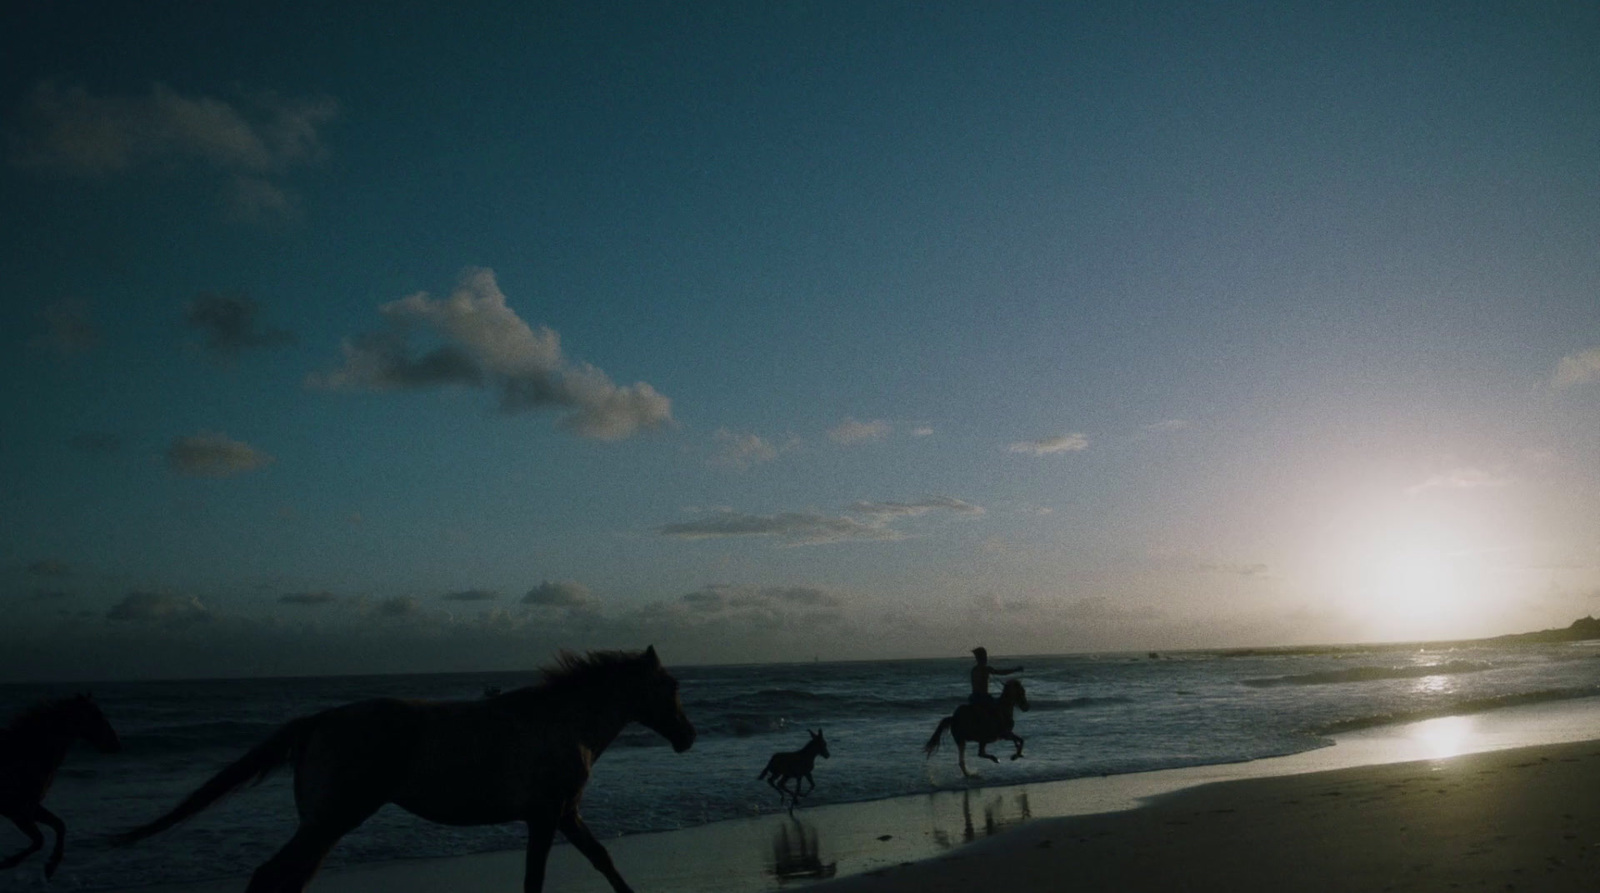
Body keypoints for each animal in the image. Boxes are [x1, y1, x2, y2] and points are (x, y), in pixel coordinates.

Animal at [1, 697, 121, 876]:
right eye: (97, 716)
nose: (116, 744)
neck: (26, 754)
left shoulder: (30, 809)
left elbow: (59, 826)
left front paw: (52, 864)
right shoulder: (18, 811)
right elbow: (40, 840)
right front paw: (9, 862)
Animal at [118, 649, 694, 893]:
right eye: (671, 686)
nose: (688, 737)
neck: (564, 722)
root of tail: (318, 720)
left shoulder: (564, 814)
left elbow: (603, 861)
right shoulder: (546, 816)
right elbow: (536, 879)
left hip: (324, 825)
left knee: (287, 879)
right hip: (331, 820)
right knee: (270, 877)